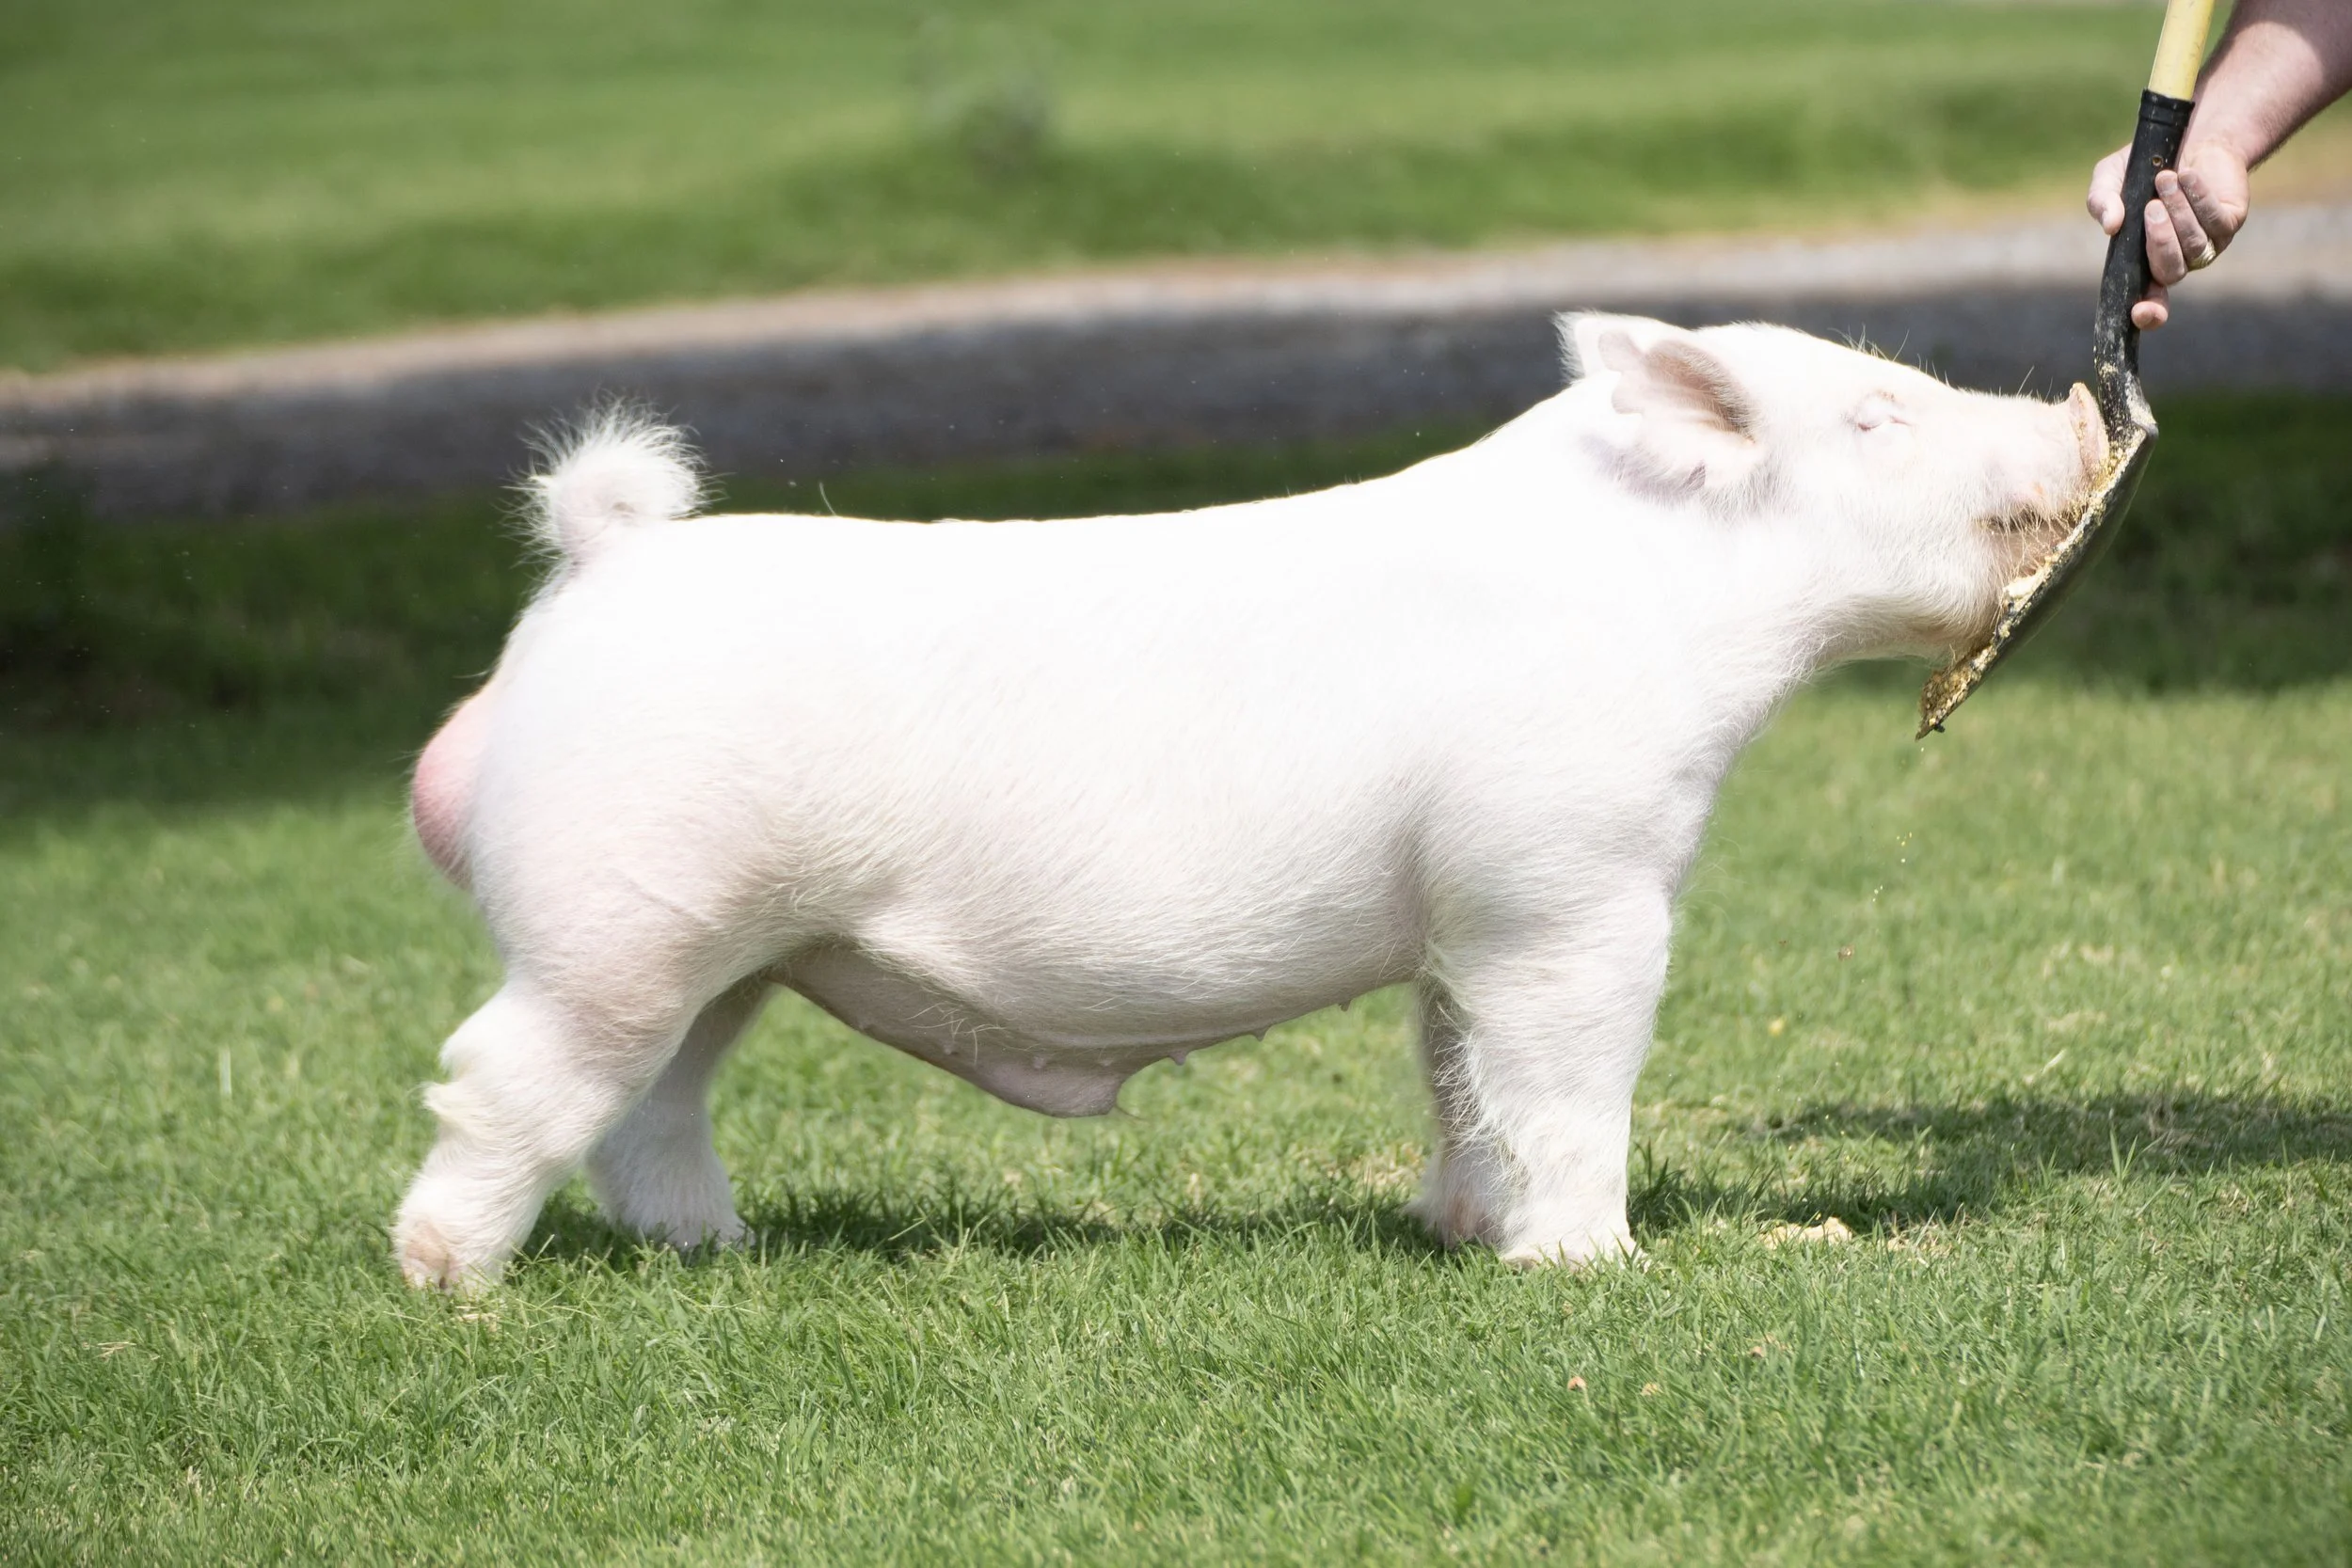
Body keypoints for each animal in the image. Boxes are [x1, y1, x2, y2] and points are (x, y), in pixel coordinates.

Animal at [393, 314, 2105, 1290]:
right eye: (1878, 415)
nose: (2079, 412)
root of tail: (601, 564)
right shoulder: (1569, 880)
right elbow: (1567, 1071)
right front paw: (1594, 1268)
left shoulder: (1461, 915)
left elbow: (1458, 1073)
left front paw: (1464, 1233)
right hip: (618, 912)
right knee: (500, 1075)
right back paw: (447, 1279)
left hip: (733, 945)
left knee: (654, 1104)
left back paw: (719, 1250)